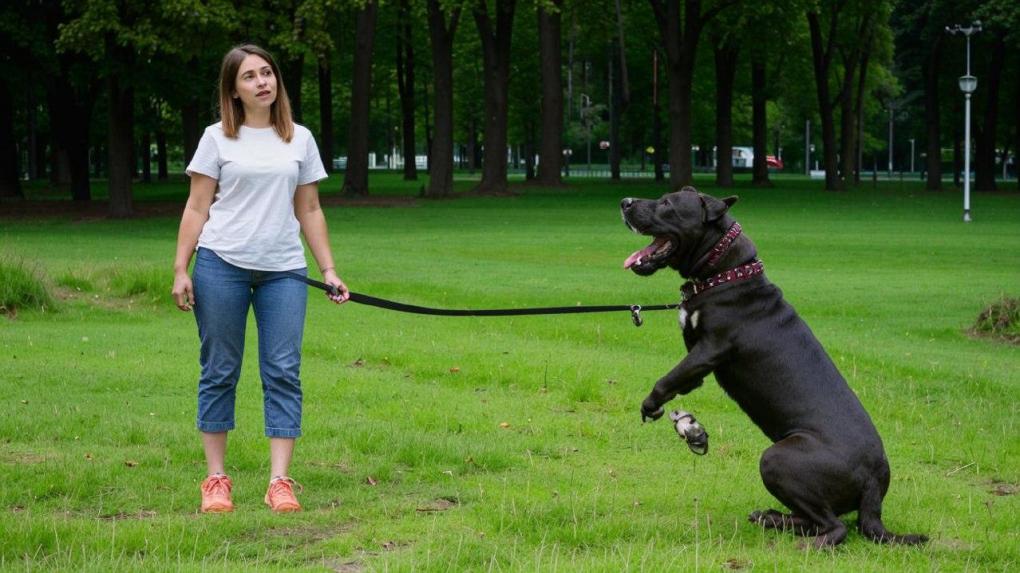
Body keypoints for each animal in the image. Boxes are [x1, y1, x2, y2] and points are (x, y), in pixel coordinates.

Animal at [616, 186, 930, 542]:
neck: (725, 271)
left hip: (777, 459)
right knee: (814, 520)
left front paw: (653, 406)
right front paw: (690, 428)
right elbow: (679, 380)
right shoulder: (697, 360)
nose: (625, 203)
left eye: (667, 204)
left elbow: (667, 379)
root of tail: (874, 488)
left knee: (833, 528)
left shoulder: (709, 349)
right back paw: (770, 518)